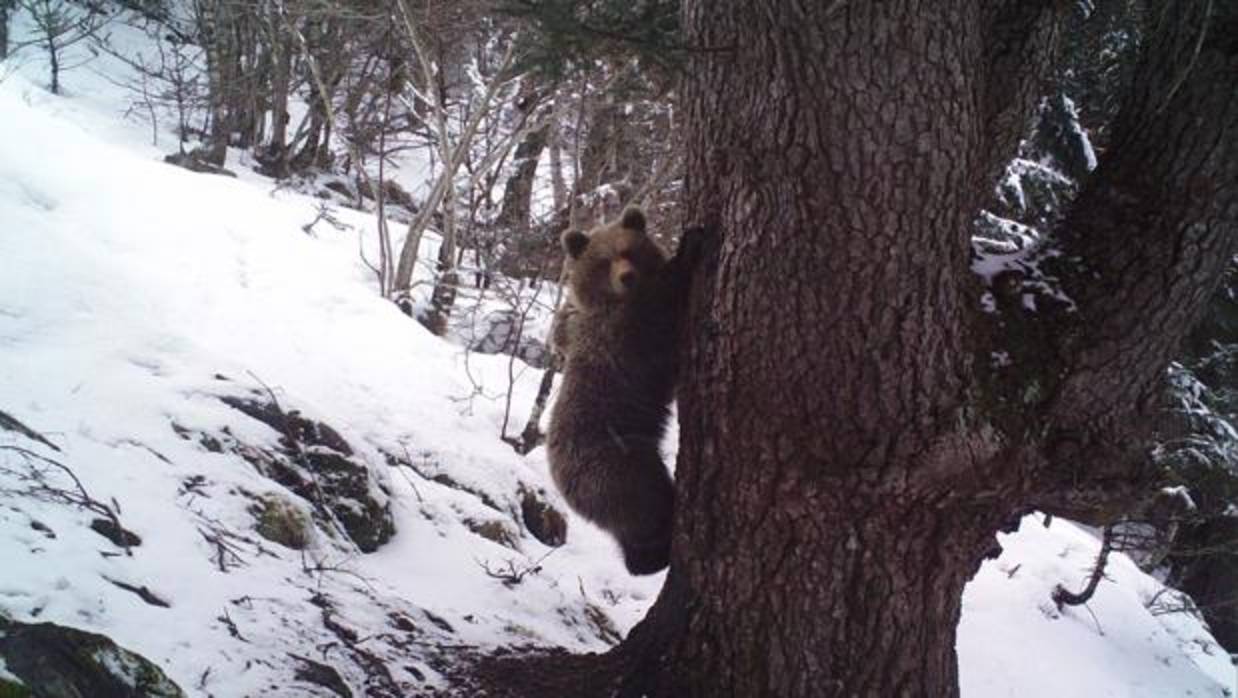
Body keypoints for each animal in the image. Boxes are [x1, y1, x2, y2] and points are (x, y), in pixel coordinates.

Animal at [547, 205, 703, 571]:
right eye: (604, 261)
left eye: (629, 251)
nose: (627, 276)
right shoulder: (620, 335)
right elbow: (660, 310)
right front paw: (688, 247)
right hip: (616, 461)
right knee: (645, 499)